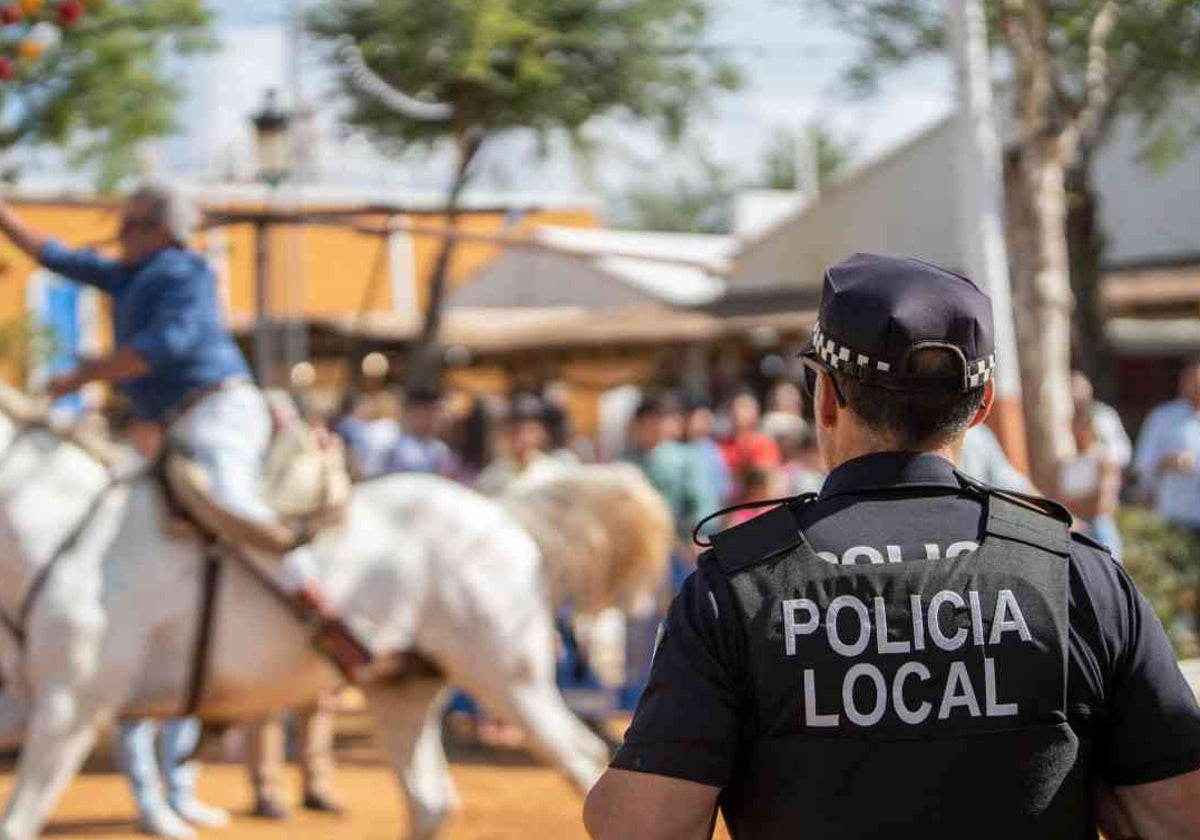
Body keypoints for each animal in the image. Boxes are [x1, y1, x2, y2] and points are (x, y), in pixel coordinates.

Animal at [0, 384, 676, 835]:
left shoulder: (70, 710)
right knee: (429, 802)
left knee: (581, 761)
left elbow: (20, 819)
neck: (62, 528)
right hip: (404, 688)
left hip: (513, 680)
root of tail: (502, 510)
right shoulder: (40, 706)